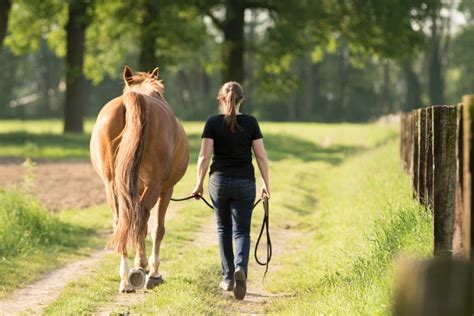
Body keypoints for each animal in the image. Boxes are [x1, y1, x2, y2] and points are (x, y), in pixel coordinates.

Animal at [90, 65, 189, 292]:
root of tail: (133, 99)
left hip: (112, 185)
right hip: (155, 185)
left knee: (122, 220)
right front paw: (153, 272)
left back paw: (126, 278)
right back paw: (141, 268)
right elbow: (157, 228)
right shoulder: (165, 189)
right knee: (142, 219)